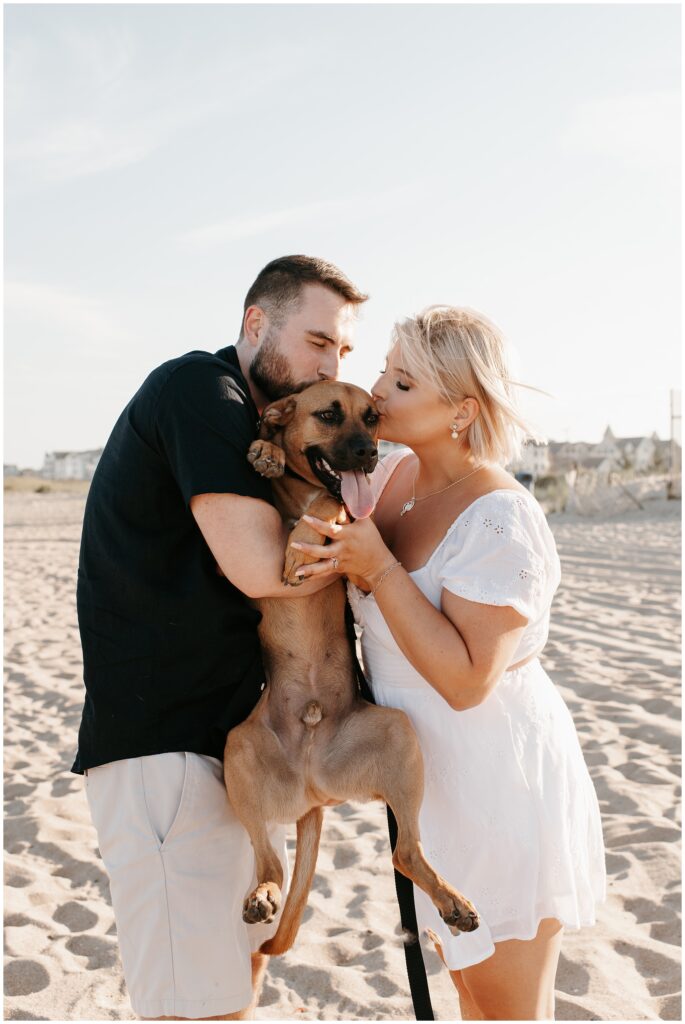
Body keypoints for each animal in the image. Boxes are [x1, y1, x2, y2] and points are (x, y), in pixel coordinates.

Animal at [223, 380, 475, 962]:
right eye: (328, 415)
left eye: (373, 416)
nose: (369, 453)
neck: (297, 490)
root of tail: (314, 788)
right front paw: (266, 450)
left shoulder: (354, 536)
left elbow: (328, 501)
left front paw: (299, 548)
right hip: (237, 750)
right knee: (271, 863)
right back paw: (263, 895)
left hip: (397, 734)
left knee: (405, 851)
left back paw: (451, 900)